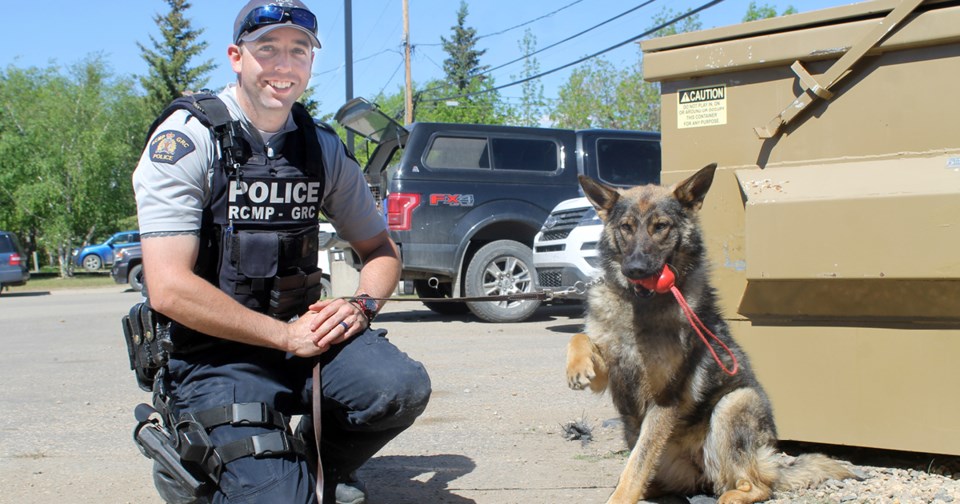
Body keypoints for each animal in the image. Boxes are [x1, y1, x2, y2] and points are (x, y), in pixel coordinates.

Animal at [568, 163, 852, 502]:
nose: (634, 269)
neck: (639, 307)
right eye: (626, 227)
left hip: (734, 405)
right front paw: (576, 367)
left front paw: (620, 498)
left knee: (757, 485)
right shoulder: (610, 375)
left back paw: (732, 495)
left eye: (661, 227)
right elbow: (580, 338)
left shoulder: (664, 401)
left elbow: (637, 464)